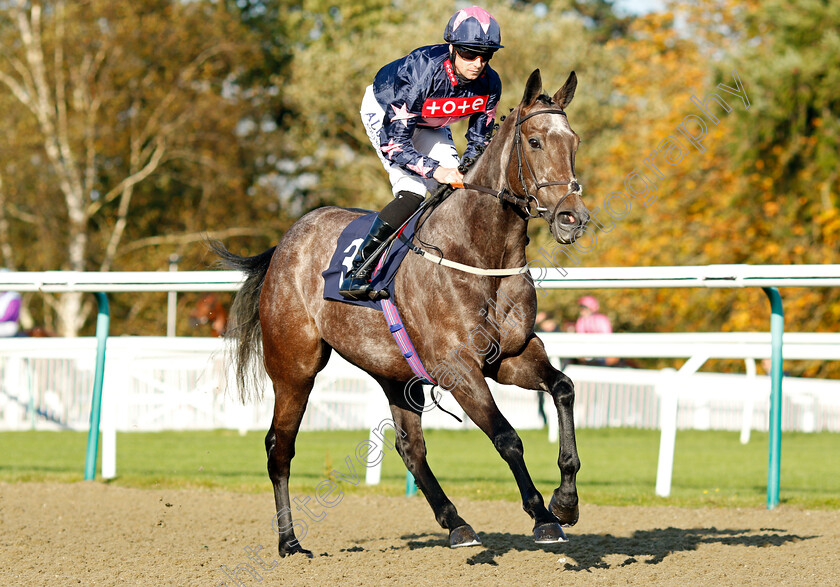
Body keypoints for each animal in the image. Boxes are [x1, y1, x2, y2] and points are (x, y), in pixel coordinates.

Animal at [213, 69, 588, 556]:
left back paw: (456, 523)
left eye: (574, 141)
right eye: (535, 141)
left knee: (410, 448)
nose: (572, 217)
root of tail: (286, 241)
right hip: (294, 366)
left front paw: (566, 502)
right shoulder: (459, 368)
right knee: (280, 446)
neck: (479, 250)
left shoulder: (511, 356)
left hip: (393, 371)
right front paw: (542, 516)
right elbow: (506, 437)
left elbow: (563, 388)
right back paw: (290, 542)